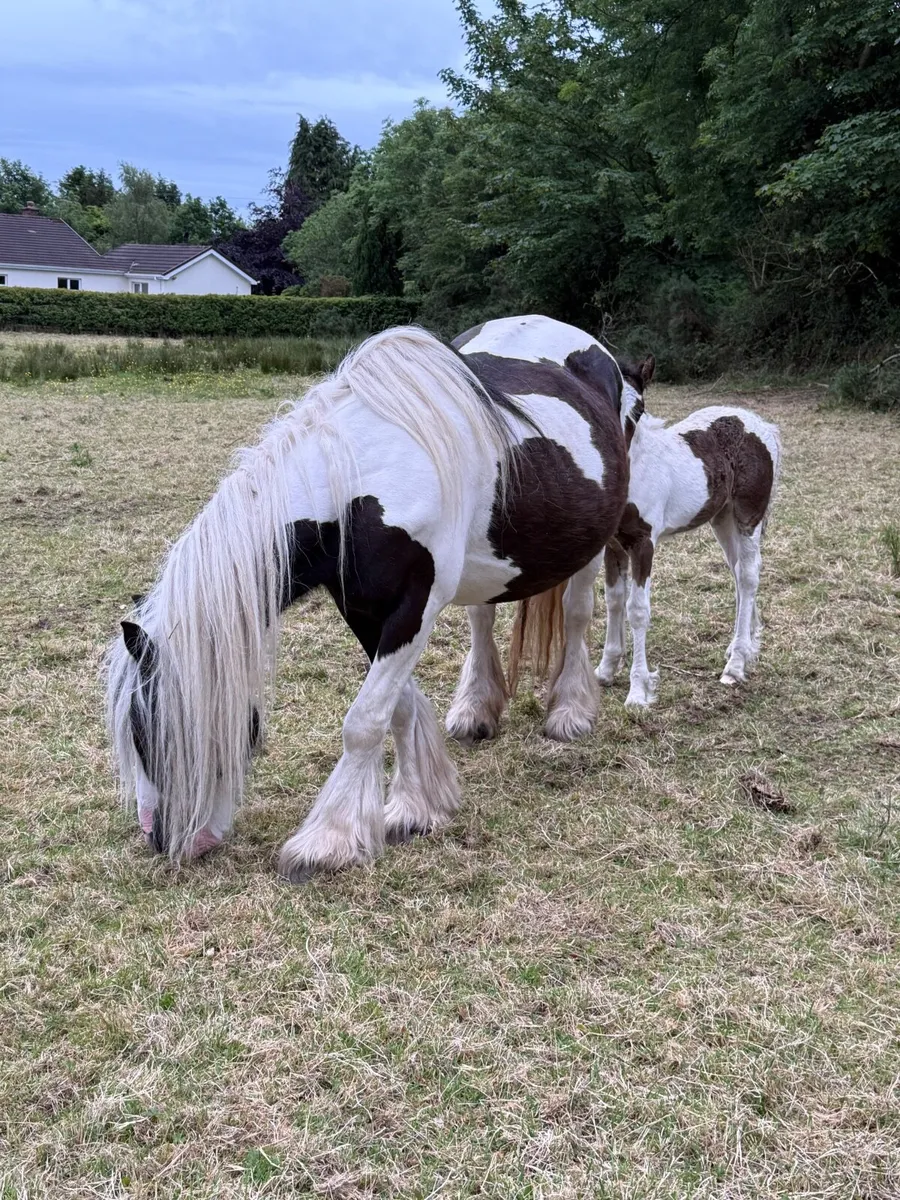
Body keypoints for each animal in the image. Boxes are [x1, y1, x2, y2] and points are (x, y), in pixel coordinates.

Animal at [596, 402, 782, 708]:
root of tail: (762, 425)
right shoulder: (613, 546)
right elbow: (613, 600)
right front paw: (606, 670)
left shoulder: (643, 543)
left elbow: (637, 610)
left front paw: (637, 692)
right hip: (722, 518)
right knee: (739, 572)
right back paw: (742, 647)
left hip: (747, 516)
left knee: (748, 576)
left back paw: (736, 665)